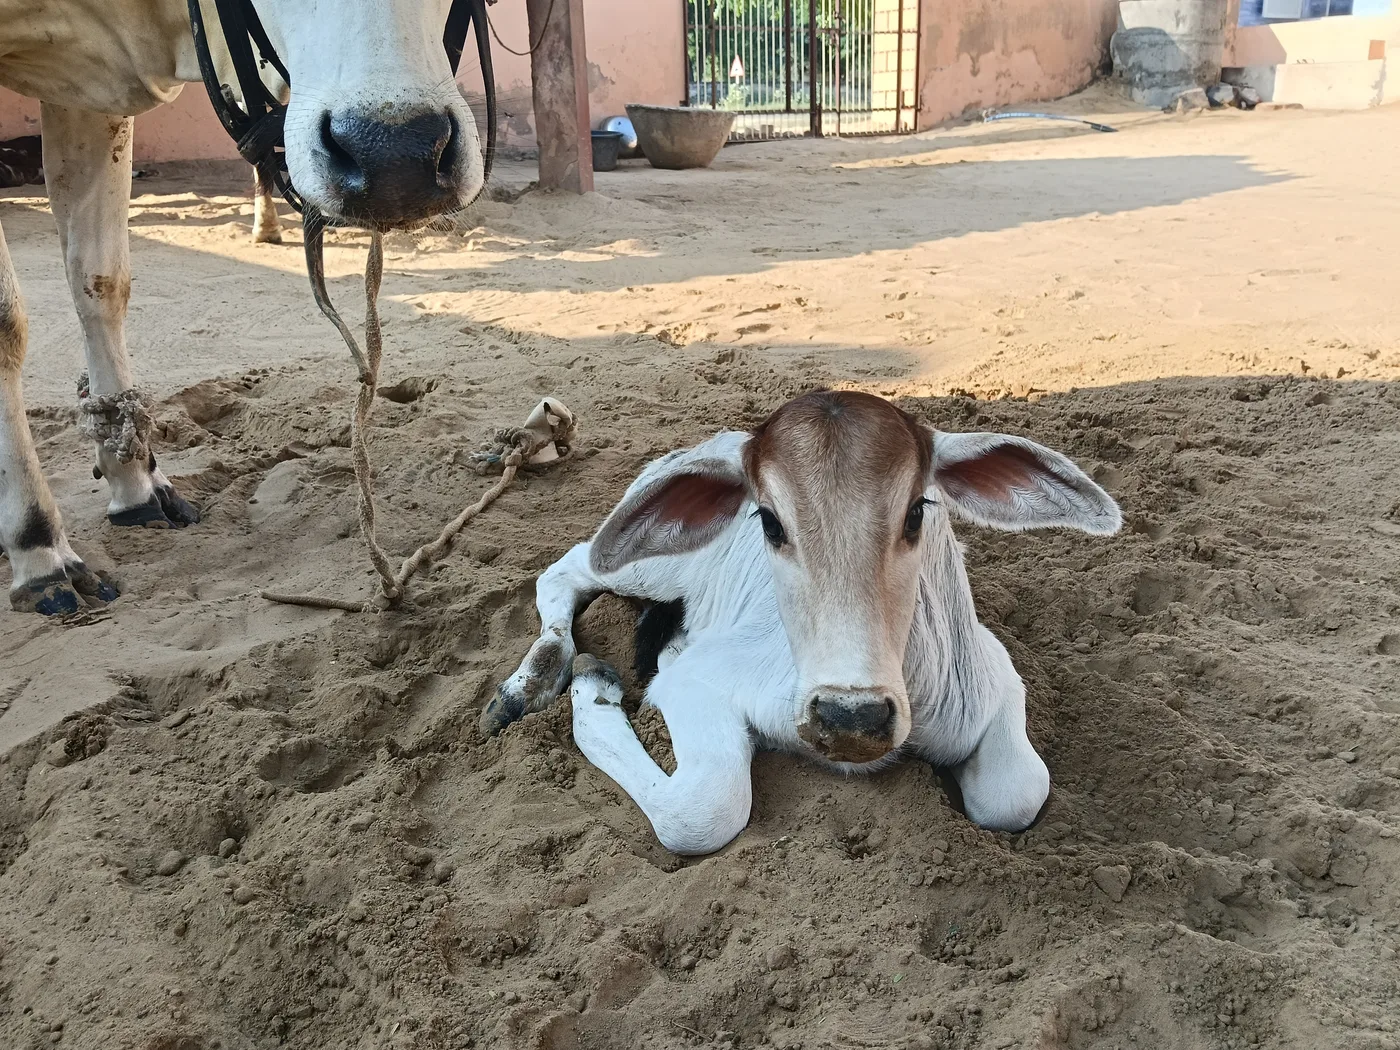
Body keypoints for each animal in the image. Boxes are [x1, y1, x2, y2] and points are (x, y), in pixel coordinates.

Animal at [0, 0, 484, 614]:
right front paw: (38, 549)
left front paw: (134, 483)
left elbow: (101, 280)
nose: (396, 160)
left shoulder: (88, 102)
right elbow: (6, 321)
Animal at [483, 390, 1122, 855]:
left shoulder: (995, 678)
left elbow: (1017, 793)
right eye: (768, 520)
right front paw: (593, 693)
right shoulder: (700, 685)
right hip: (647, 566)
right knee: (564, 571)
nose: (850, 716)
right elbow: (703, 811)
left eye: (917, 512)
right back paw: (529, 684)